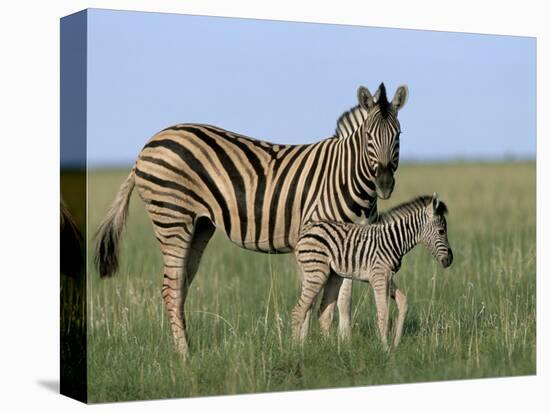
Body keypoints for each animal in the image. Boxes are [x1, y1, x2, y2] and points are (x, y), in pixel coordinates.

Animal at [96, 83, 410, 354]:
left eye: (398, 136)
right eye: (368, 137)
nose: (384, 184)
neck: (345, 177)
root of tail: (149, 144)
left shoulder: (352, 241)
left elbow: (344, 297)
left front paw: (342, 345)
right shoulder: (318, 237)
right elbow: (315, 299)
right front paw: (304, 346)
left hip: (199, 226)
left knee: (181, 284)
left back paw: (187, 347)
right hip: (172, 216)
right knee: (170, 287)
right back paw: (183, 355)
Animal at [296, 193, 454, 348]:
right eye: (441, 231)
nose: (450, 260)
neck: (394, 241)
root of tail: (306, 231)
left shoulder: (387, 277)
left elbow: (403, 303)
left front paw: (396, 343)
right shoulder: (378, 276)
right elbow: (383, 312)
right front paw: (384, 348)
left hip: (326, 274)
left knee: (318, 310)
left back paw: (328, 347)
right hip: (317, 271)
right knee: (300, 309)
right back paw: (296, 346)